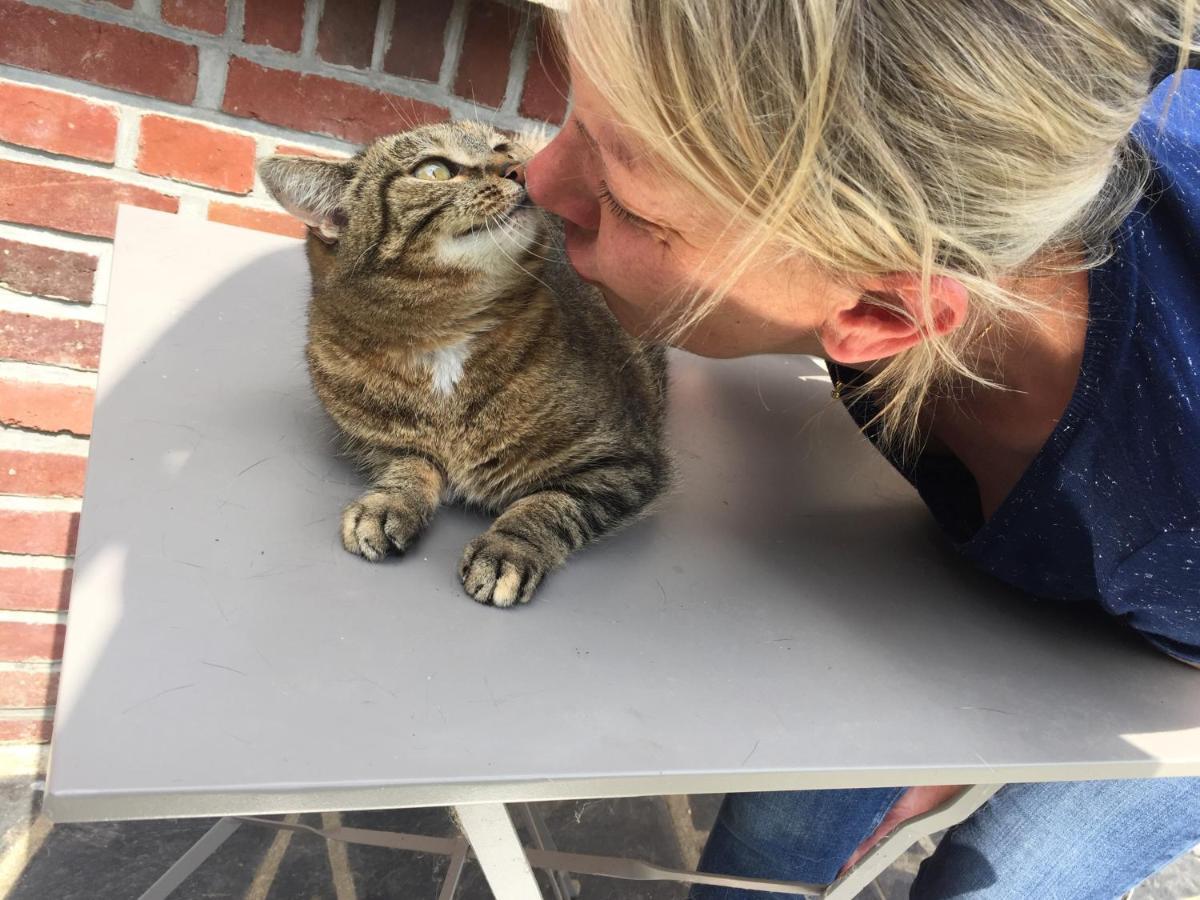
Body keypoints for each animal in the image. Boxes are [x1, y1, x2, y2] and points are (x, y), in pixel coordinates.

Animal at [258, 121, 672, 607]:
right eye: (434, 170)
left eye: (502, 147)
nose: (518, 168)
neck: (444, 342)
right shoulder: (373, 441)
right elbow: (409, 466)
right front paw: (389, 503)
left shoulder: (624, 462)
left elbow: (549, 507)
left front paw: (506, 548)